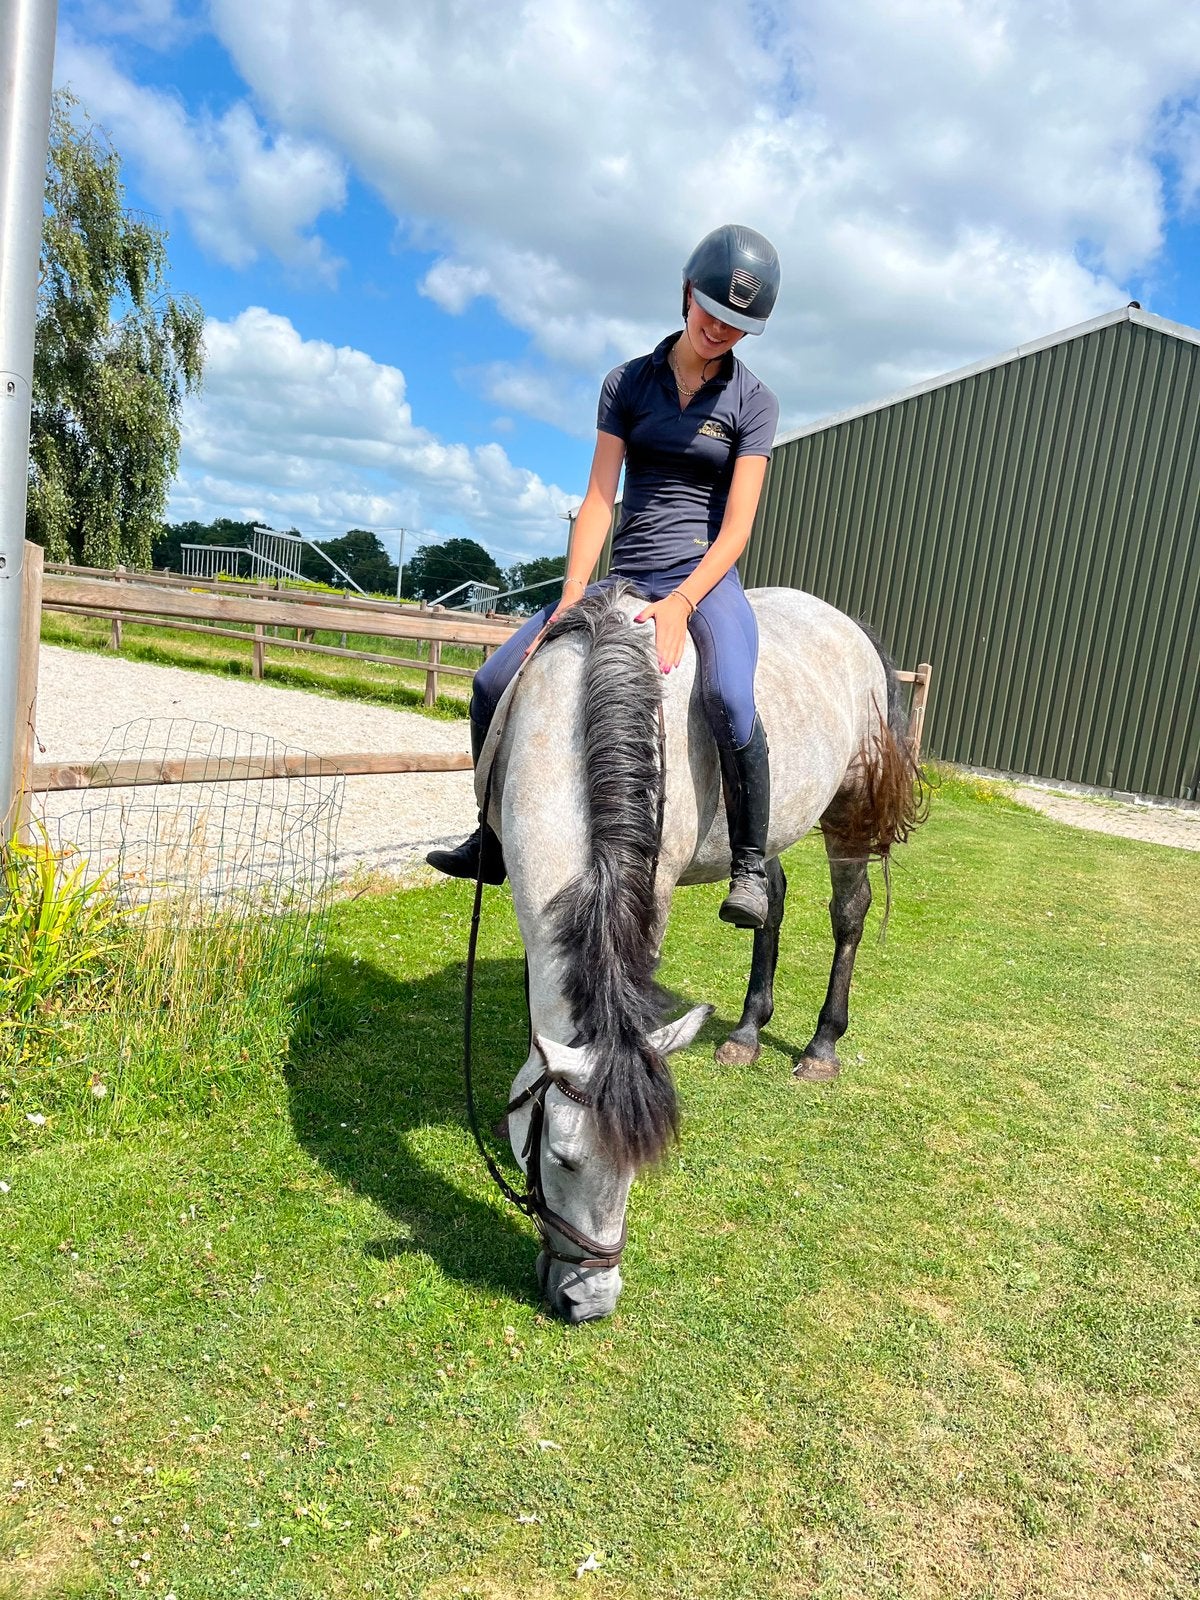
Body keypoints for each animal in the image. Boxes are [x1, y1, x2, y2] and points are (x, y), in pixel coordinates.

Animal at [474, 582, 923, 1322]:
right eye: (562, 1159)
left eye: (639, 1166)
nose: (590, 1301)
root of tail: (846, 624)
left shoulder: (649, 895)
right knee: (768, 896)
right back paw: (746, 1032)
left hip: (850, 805)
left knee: (848, 914)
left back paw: (821, 1047)